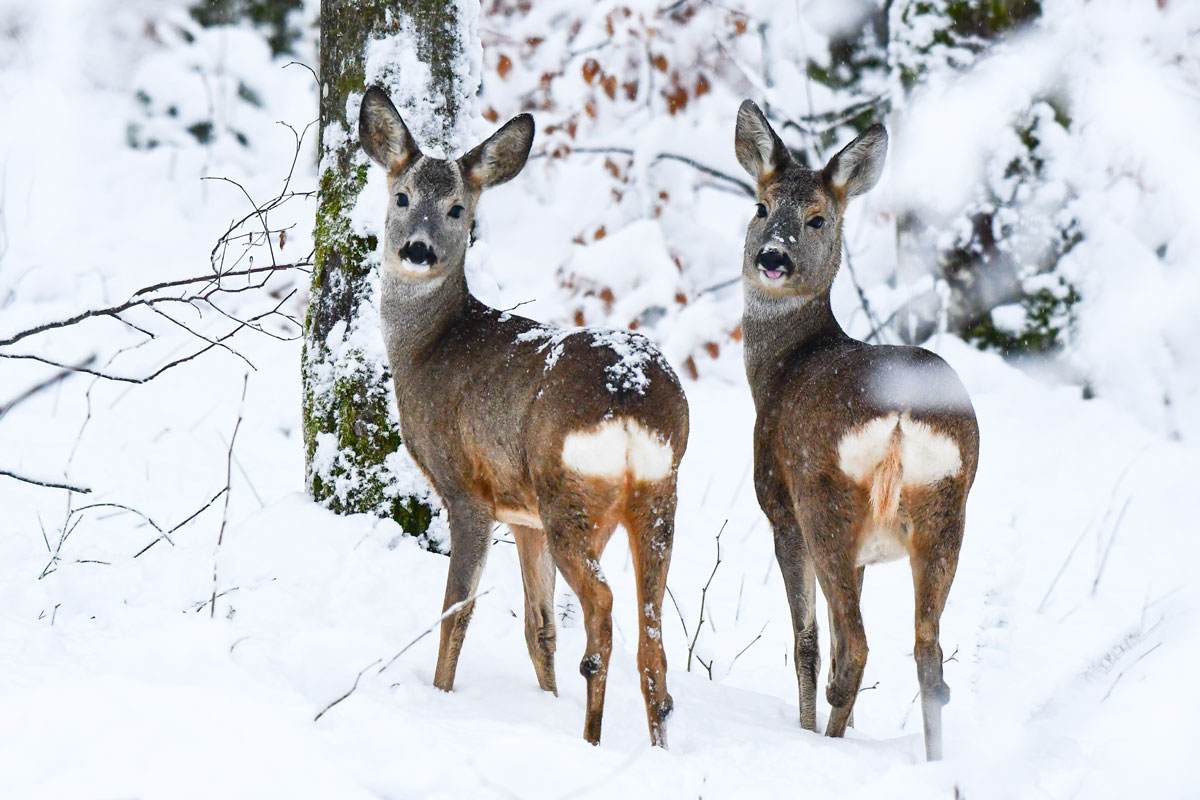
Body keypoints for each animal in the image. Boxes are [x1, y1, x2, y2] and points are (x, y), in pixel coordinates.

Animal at [360, 84, 691, 748]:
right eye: (402, 197)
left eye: (458, 209)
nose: (417, 249)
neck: (428, 346)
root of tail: (630, 391)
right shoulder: (522, 515)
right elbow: (539, 627)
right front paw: (545, 700)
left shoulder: (468, 488)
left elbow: (457, 609)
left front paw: (441, 694)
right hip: (657, 495)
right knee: (653, 635)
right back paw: (655, 745)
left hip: (569, 494)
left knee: (604, 606)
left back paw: (591, 737)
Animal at [729, 101, 974, 762]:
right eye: (761, 207)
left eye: (817, 218)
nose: (773, 257)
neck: (780, 367)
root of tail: (902, 415)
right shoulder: (868, 551)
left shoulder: (778, 505)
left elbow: (809, 641)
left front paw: (808, 728)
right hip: (946, 511)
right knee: (928, 656)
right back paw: (932, 763)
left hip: (824, 499)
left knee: (855, 651)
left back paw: (828, 742)